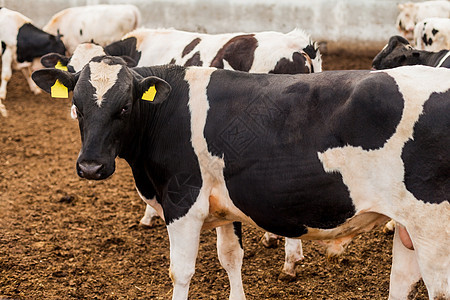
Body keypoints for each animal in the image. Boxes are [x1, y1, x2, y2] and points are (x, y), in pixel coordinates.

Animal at [31, 56, 450, 300]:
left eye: (124, 106)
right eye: (76, 105)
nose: (90, 167)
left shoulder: (183, 201)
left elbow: (181, 271)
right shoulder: (223, 206)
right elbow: (231, 258)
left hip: (432, 224)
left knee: (437, 288)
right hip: (406, 224)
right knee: (403, 279)